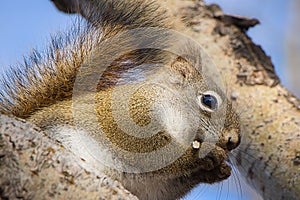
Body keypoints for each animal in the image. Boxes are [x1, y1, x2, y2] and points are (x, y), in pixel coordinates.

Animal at [0, 0, 240, 199]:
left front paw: (220, 170)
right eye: (208, 101)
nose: (233, 141)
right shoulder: (130, 114)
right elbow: (149, 151)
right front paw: (201, 155)